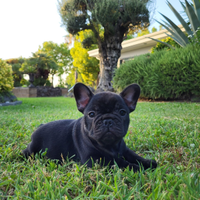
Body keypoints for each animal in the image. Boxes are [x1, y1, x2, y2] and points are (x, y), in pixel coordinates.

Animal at [22, 83, 157, 172]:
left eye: (122, 112)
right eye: (91, 114)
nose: (107, 120)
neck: (110, 146)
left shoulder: (124, 150)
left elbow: (134, 156)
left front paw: (148, 162)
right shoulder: (95, 160)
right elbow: (118, 162)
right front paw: (136, 167)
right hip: (32, 150)